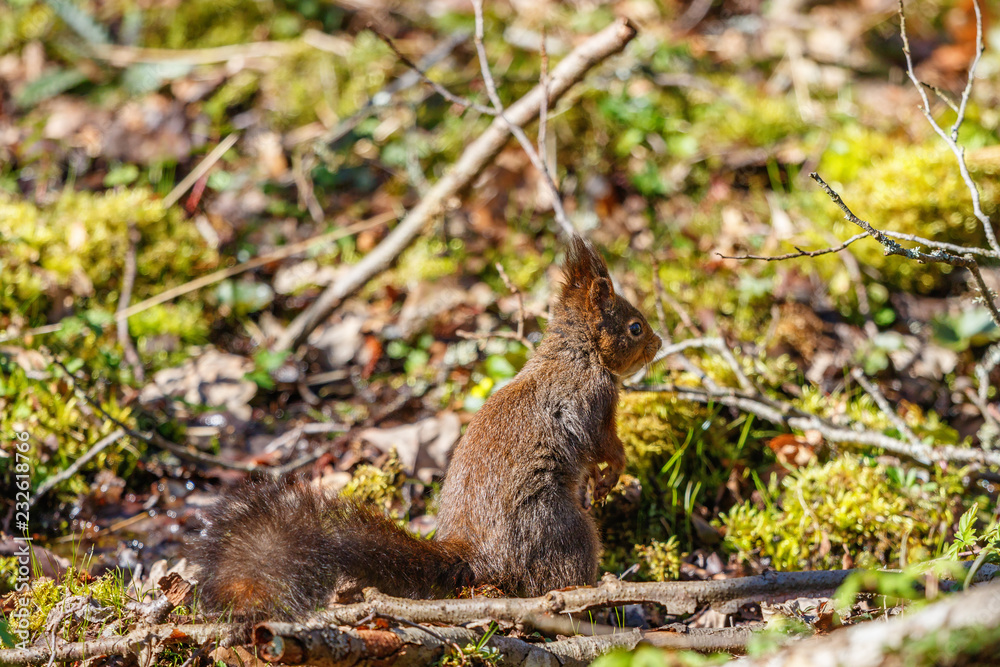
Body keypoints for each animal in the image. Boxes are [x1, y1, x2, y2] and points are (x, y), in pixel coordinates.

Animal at [190, 235, 661, 619]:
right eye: (635, 327)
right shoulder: (594, 401)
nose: (658, 344)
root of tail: (475, 556)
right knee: (554, 579)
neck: (577, 354)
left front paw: (601, 480)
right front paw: (613, 473)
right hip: (561, 530)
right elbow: (606, 444)